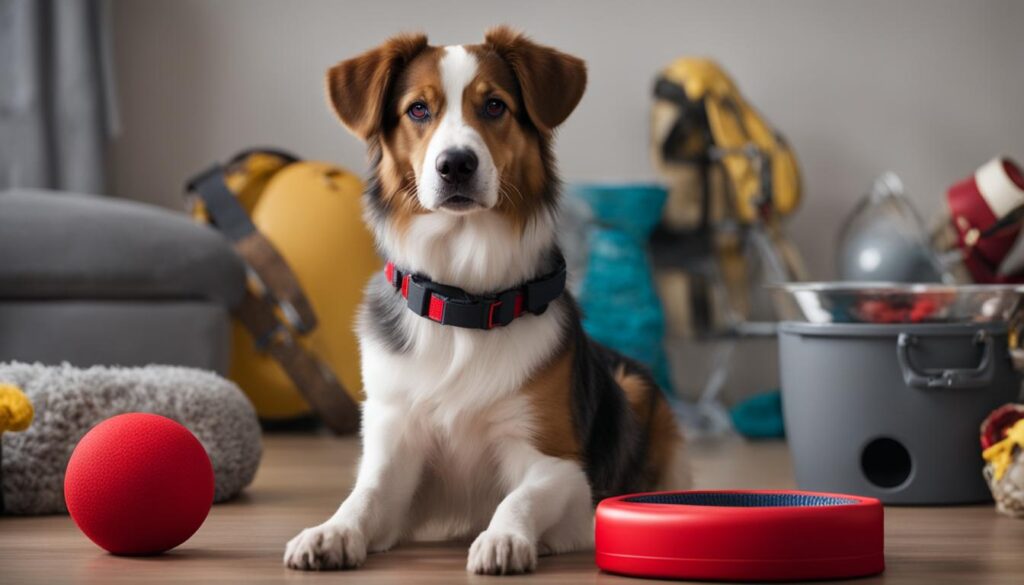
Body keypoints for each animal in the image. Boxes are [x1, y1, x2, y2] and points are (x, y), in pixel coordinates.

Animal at [284, 27, 692, 577]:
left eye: (495, 105)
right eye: (418, 110)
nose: (456, 164)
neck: (464, 303)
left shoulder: (557, 463)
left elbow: (519, 497)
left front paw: (504, 539)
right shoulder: (396, 448)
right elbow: (364, 497)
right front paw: (331, 531)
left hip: (635, 386)